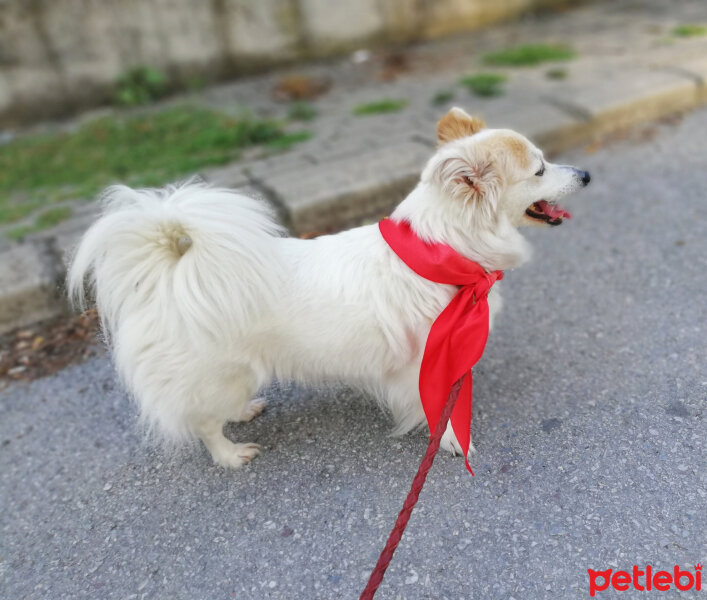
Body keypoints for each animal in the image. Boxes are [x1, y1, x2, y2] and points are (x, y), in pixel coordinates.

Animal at [70, 110, 592, 472]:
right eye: (540, 169)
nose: (586, 175)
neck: (445, 251)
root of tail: (169, 275)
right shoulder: (421, 364)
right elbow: (436, 412)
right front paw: (449, 441)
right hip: (219, 375)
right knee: (203, 423)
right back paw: (230, 454)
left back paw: (245, 411)